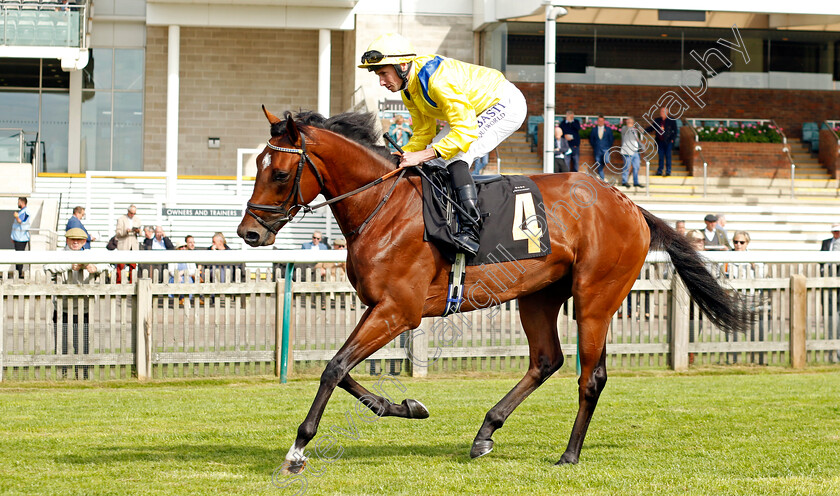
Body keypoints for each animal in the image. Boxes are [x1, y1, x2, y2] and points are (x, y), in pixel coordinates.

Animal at [238, 106, 756, 470]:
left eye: (279, 173)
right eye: (257, 165)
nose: (249, 233)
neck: (382, 206)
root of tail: (628, 204)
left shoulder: (398, 310)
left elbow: (333, 368)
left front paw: (298, 450)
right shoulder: (380, 309)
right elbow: (342, 369)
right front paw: (409, 405)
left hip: (596, 298)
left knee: (591, 376)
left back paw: (568, 454)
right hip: (538, 295)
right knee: (546, 360)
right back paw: (486, 431)